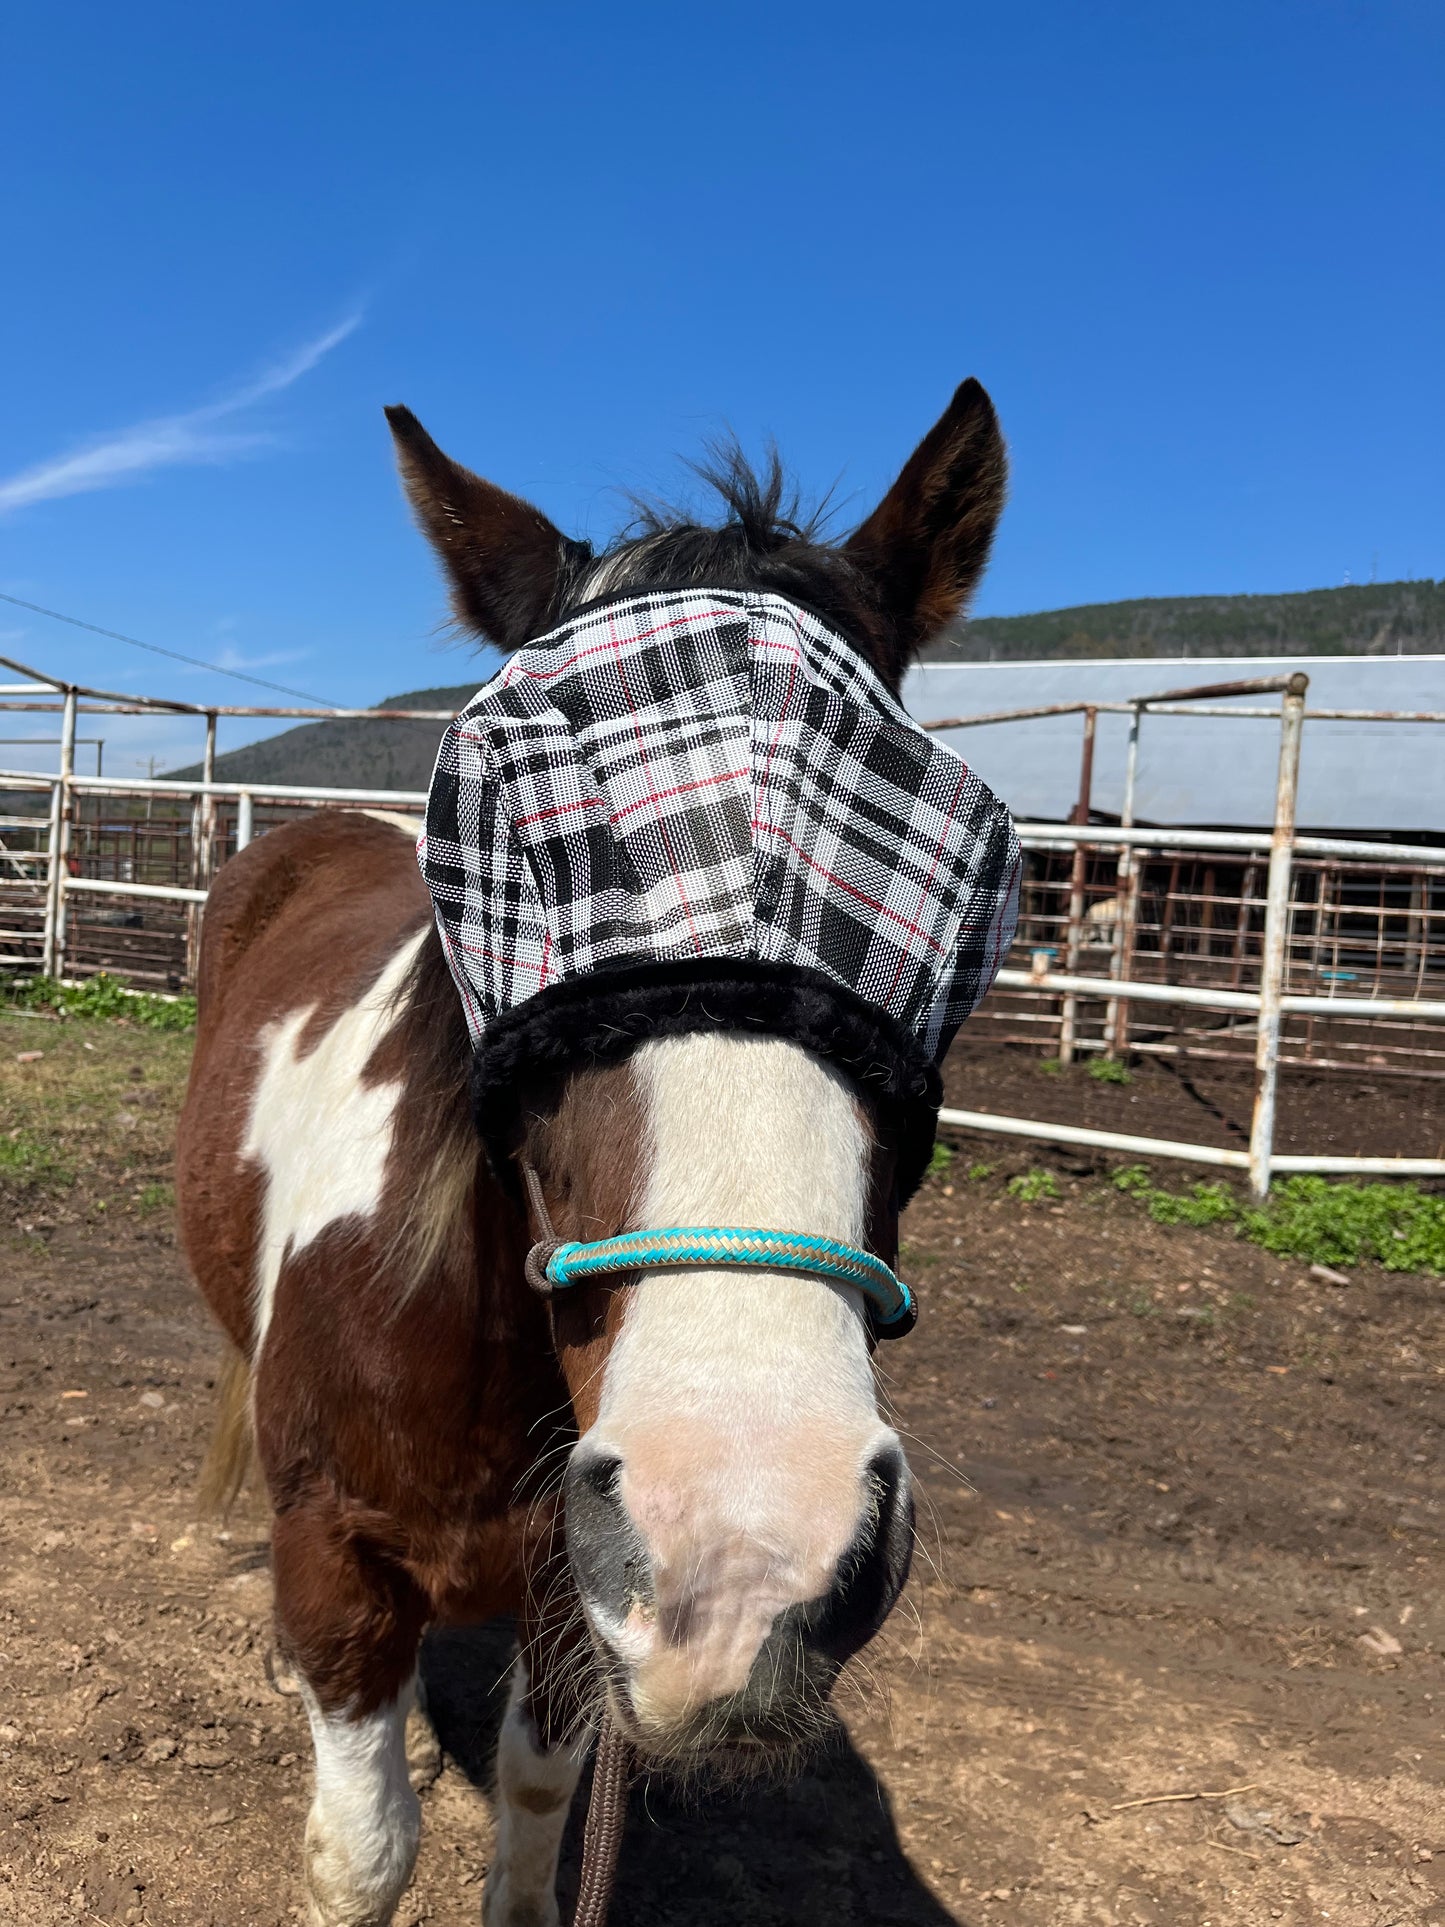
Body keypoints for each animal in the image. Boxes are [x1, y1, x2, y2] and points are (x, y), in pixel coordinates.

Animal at [178, 379, 1009, 1927]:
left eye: (956, 859)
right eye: (509, 833)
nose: (744, 1542)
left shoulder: (578, 1606)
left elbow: (538, 1806)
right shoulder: (337, 1566)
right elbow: (361, 1851)